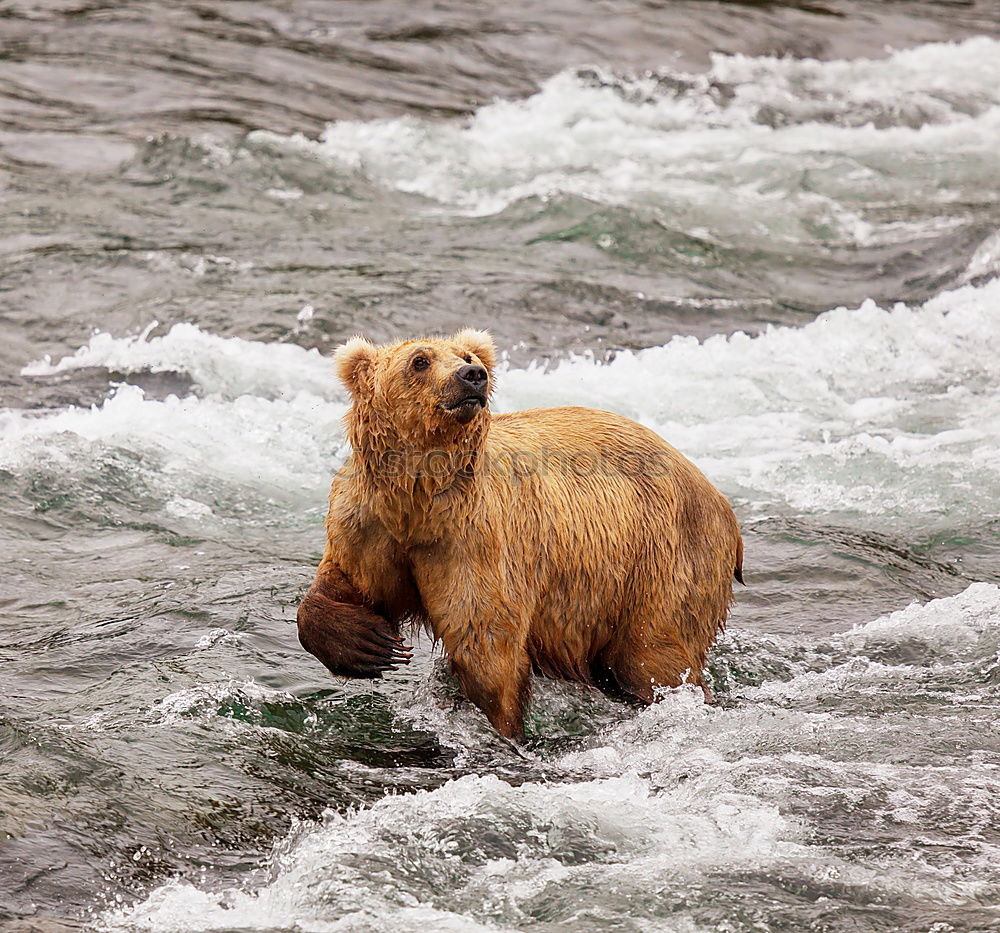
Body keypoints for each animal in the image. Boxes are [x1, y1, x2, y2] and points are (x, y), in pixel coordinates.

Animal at [296, 332, 744, 740]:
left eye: (468, 356)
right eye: (419, 360)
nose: (472, 375)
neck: (419, 500)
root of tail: (715, 493)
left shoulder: (476, 541)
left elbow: (486, 645)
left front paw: (502, 728)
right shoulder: (370, 527)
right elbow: (344, 584)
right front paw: (367, 643)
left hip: (664, 558)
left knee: (653, 655)